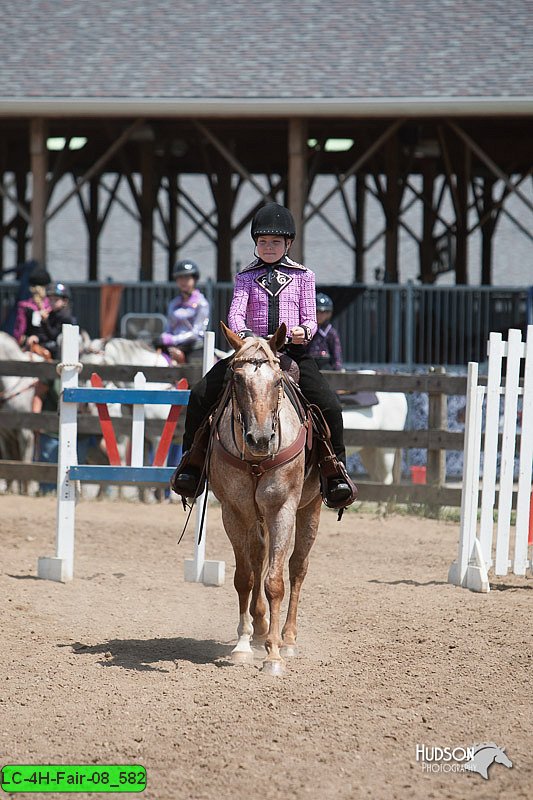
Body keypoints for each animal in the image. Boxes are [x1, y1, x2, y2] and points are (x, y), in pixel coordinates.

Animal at [209, 324, 322, 676]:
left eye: (277, 382)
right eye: (236, 379)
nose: (259, 440)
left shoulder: (282, 509)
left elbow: (275, 581)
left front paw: (273, 654)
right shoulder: (233, 512)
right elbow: (245, 577)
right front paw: (244, 644)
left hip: (310, 509)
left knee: (297, 567)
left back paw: (288, 639)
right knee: (258, 558)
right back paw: (259, 630)